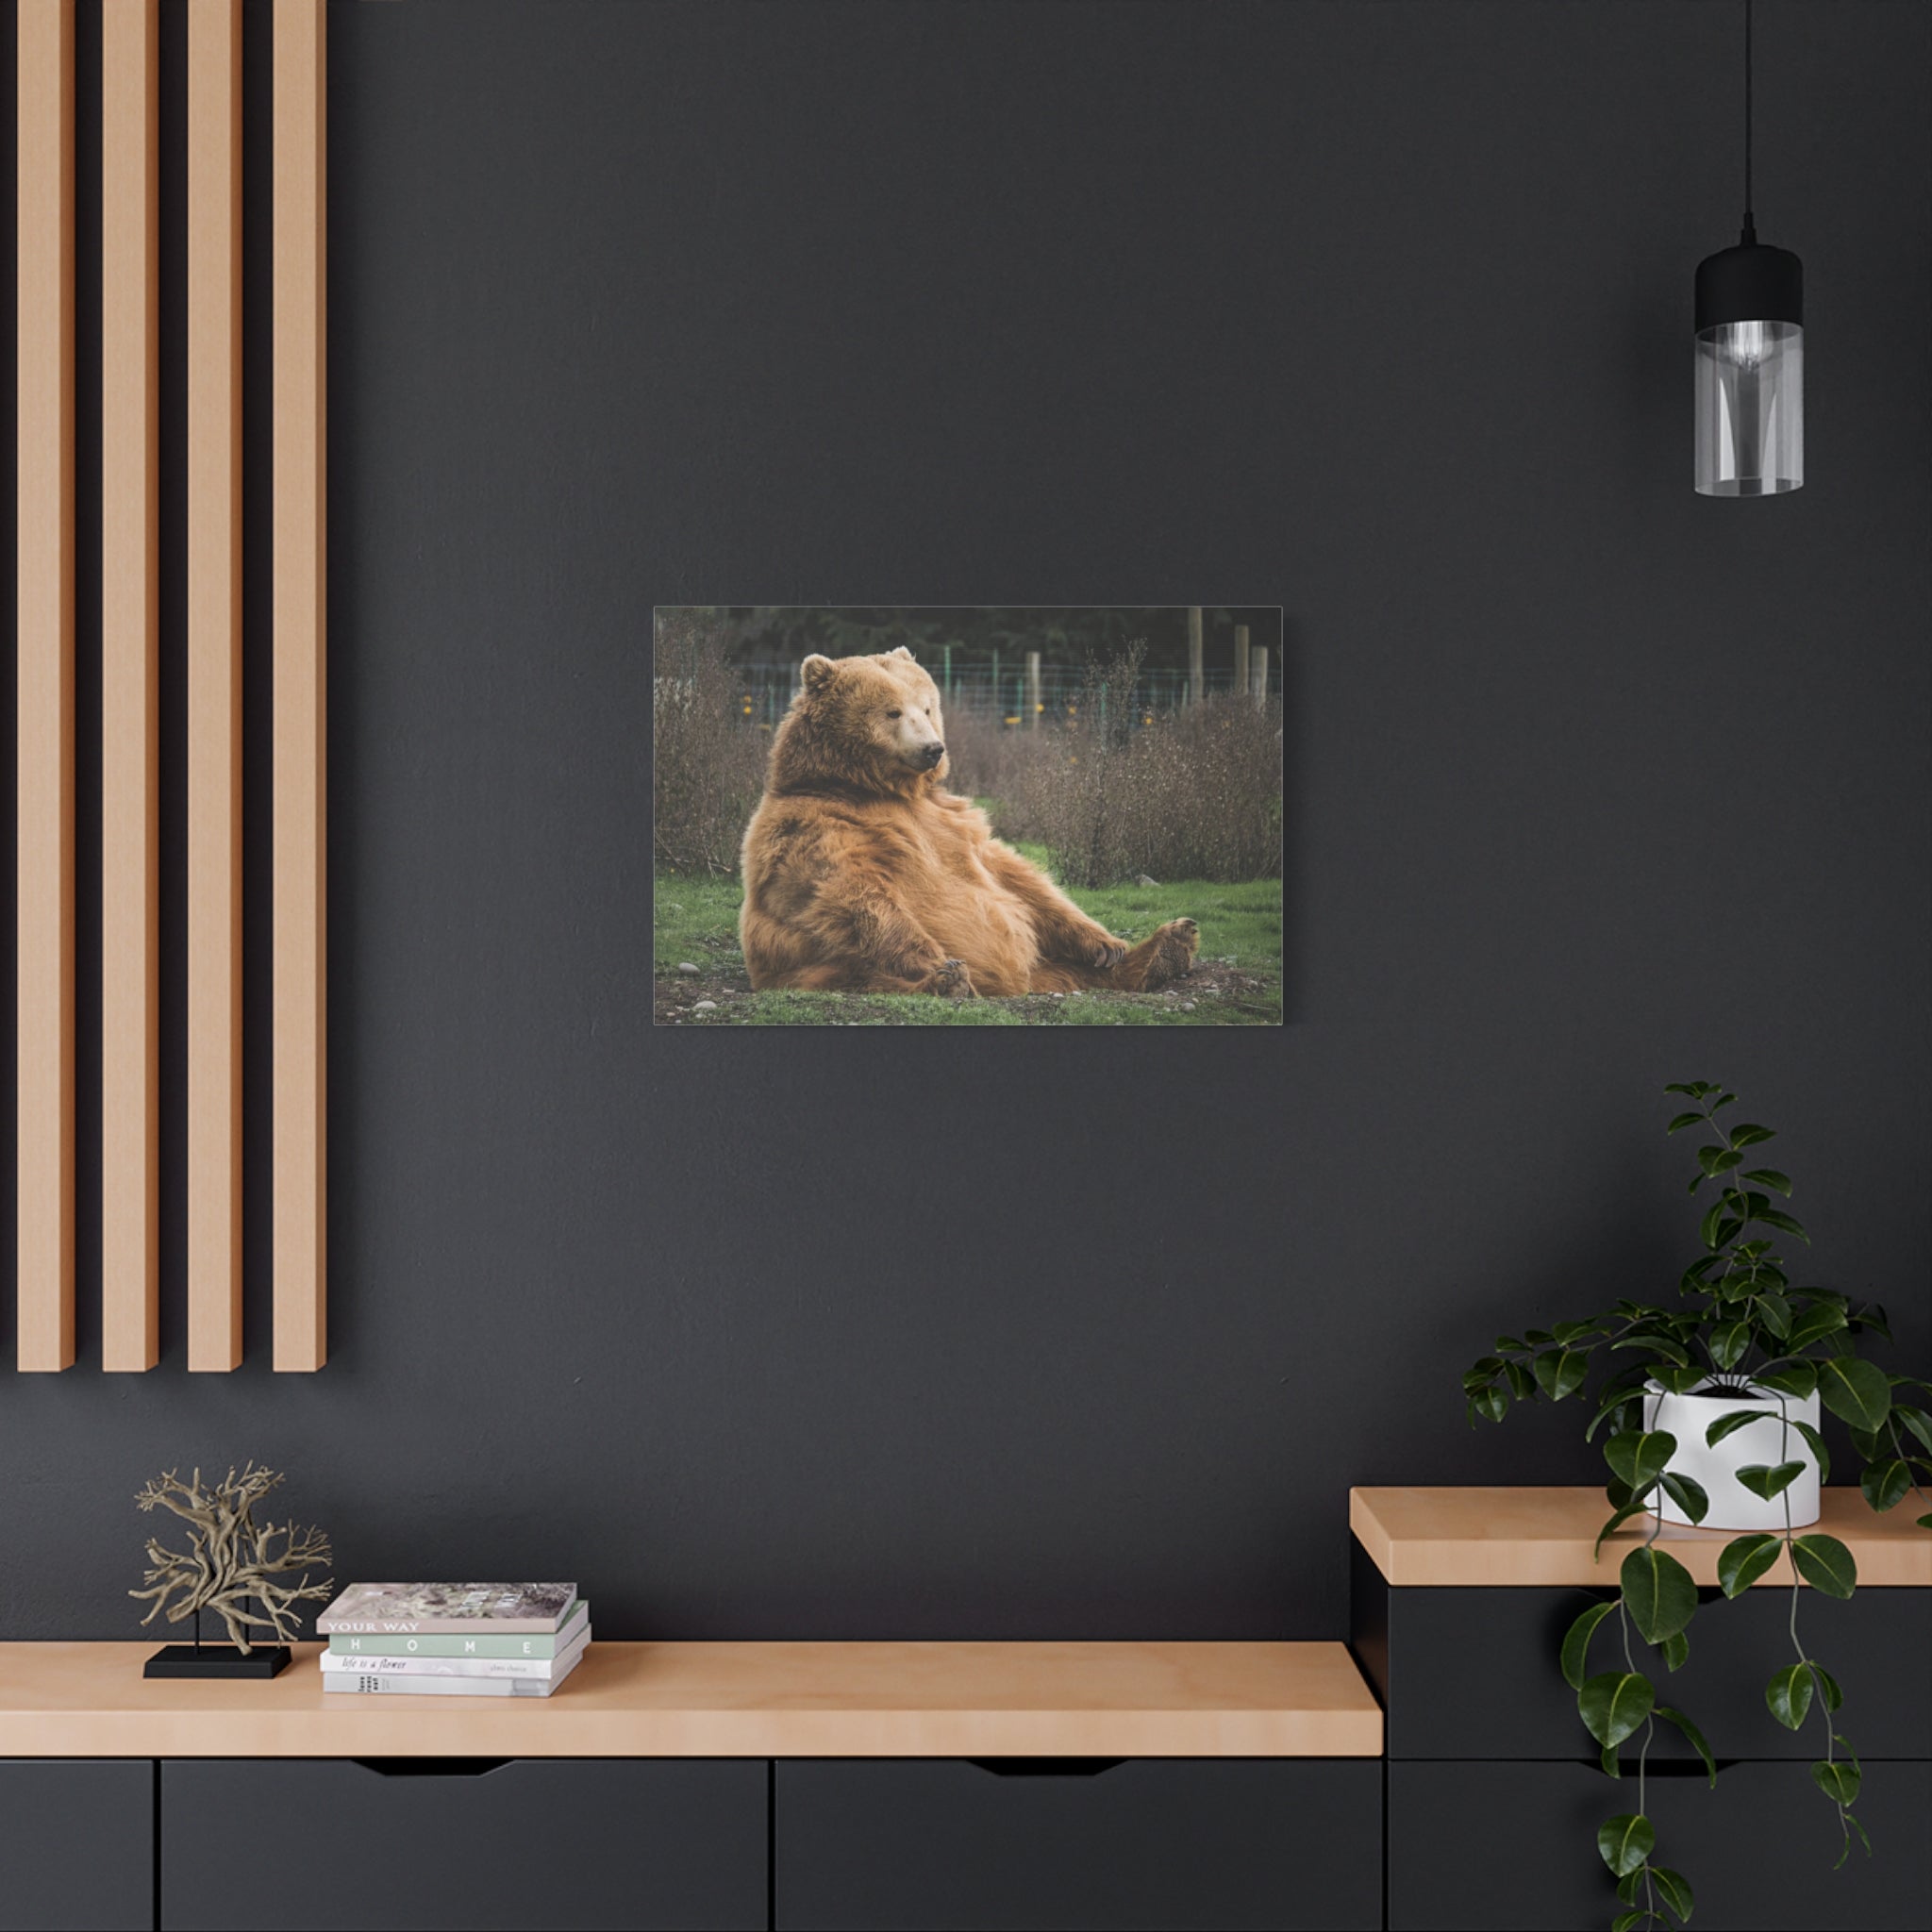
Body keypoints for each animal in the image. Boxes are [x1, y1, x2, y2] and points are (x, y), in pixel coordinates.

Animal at [738, 647, 1199, 998]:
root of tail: (1019, 984)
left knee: (1074, 968)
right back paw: (947, 981)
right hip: (814, 967)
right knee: (865, 973)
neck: (875, 788)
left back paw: (1167, 946)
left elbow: (1017, 877)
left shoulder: (953, 821)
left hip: (1047, 963)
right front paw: (940, 964)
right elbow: (853, 894)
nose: (933, 748)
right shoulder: (816, 827)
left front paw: (1106, 944)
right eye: (892, 712)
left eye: (927, 707)